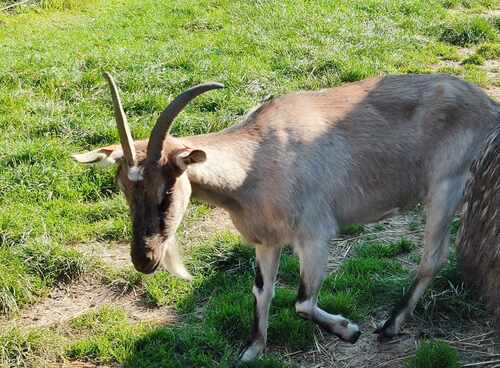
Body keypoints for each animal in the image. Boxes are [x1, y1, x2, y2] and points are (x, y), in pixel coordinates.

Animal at [74, 72, 500, 362]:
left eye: (166, 190)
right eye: (124, 190)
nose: (144, 259)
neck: (255, 160)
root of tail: (487, 104)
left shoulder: (315, 236)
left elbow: (302, 302)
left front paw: (349, 330)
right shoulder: (266, 241)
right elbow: (262, 291)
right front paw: (251, 350)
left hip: (447, 185)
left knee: (433, 258)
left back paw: (391, 325)